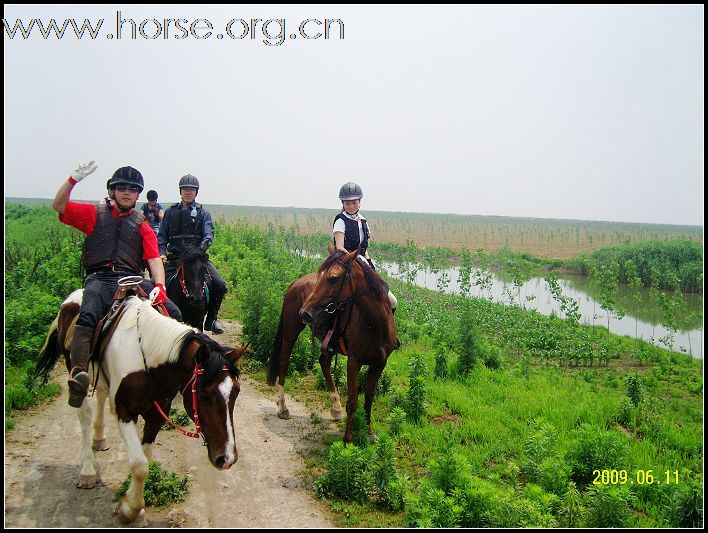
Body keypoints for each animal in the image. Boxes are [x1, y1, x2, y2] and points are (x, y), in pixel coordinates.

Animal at [34, 288, 248, 520]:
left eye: (236, 392)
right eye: (204, 395)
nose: (227, 459)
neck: (148, 359)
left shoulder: (157, 414)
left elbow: (145, 457)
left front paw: (131, 501)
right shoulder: (124, 411)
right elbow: (139, 465)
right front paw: (130, 511)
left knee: (101, 395)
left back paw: (99, 438)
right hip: (72, 368)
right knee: (83, 412)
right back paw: (87, 471)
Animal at [268, 244, 398, 440]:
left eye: (333, 278)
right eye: (320, 274)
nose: (305, 313)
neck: (373, 323)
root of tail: (297, 281)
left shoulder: (380, 363)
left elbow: (369, 397)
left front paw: (369, 433)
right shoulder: (354, 362)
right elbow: (352, 400)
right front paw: (347, 440)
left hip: (327, 343)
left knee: (324, 362)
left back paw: (335, 407)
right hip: (292, 328)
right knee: (284, 360)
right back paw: (283, 407)